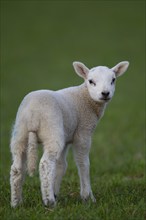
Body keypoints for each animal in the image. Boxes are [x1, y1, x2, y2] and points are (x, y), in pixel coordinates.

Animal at [10, 60, 129, 208]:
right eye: (91, 81)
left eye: (113, 80)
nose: (105, 93)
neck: (85, 98)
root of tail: (33, 114)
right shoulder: (83, 133)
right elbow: (83, 163)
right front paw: (88, 197)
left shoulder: (66, 137)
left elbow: (61, 165)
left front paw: (56, 191)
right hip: (52, 130)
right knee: (45, 164)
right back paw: (49, 201)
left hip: (20, 133)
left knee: (17, 167)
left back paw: (16, 202)